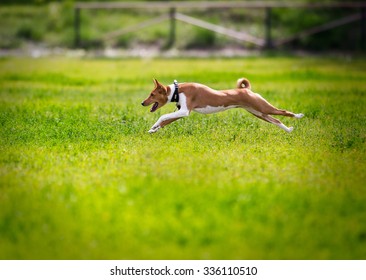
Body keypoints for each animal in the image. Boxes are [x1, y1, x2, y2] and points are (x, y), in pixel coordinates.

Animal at [142, 77, 304, 133]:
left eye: (152, 94)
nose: (142, 103)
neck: (177, 90)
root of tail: (246, 90)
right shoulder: (181, 112)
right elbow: (165, 120)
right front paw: (153, 129)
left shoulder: (185, 111)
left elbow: (163, 116)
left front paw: (154, 126)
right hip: (258, 113)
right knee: (276, 120)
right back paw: (289, 130)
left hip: (262, 107)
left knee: (283, 112)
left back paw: (298, 115)